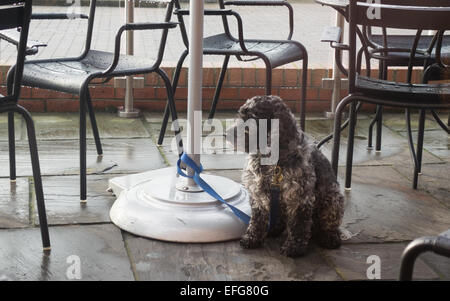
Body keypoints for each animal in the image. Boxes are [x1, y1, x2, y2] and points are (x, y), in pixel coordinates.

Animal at [225, 94, 344, 255]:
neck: (272, 163)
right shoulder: (258, 195)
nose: (226, 134)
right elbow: (257, 220)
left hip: (333, 198)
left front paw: (294, 247)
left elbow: (298, 224)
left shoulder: (299, 197)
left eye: (253, 118)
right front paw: (251, 238)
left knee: (329, 224)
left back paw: (330, 237)